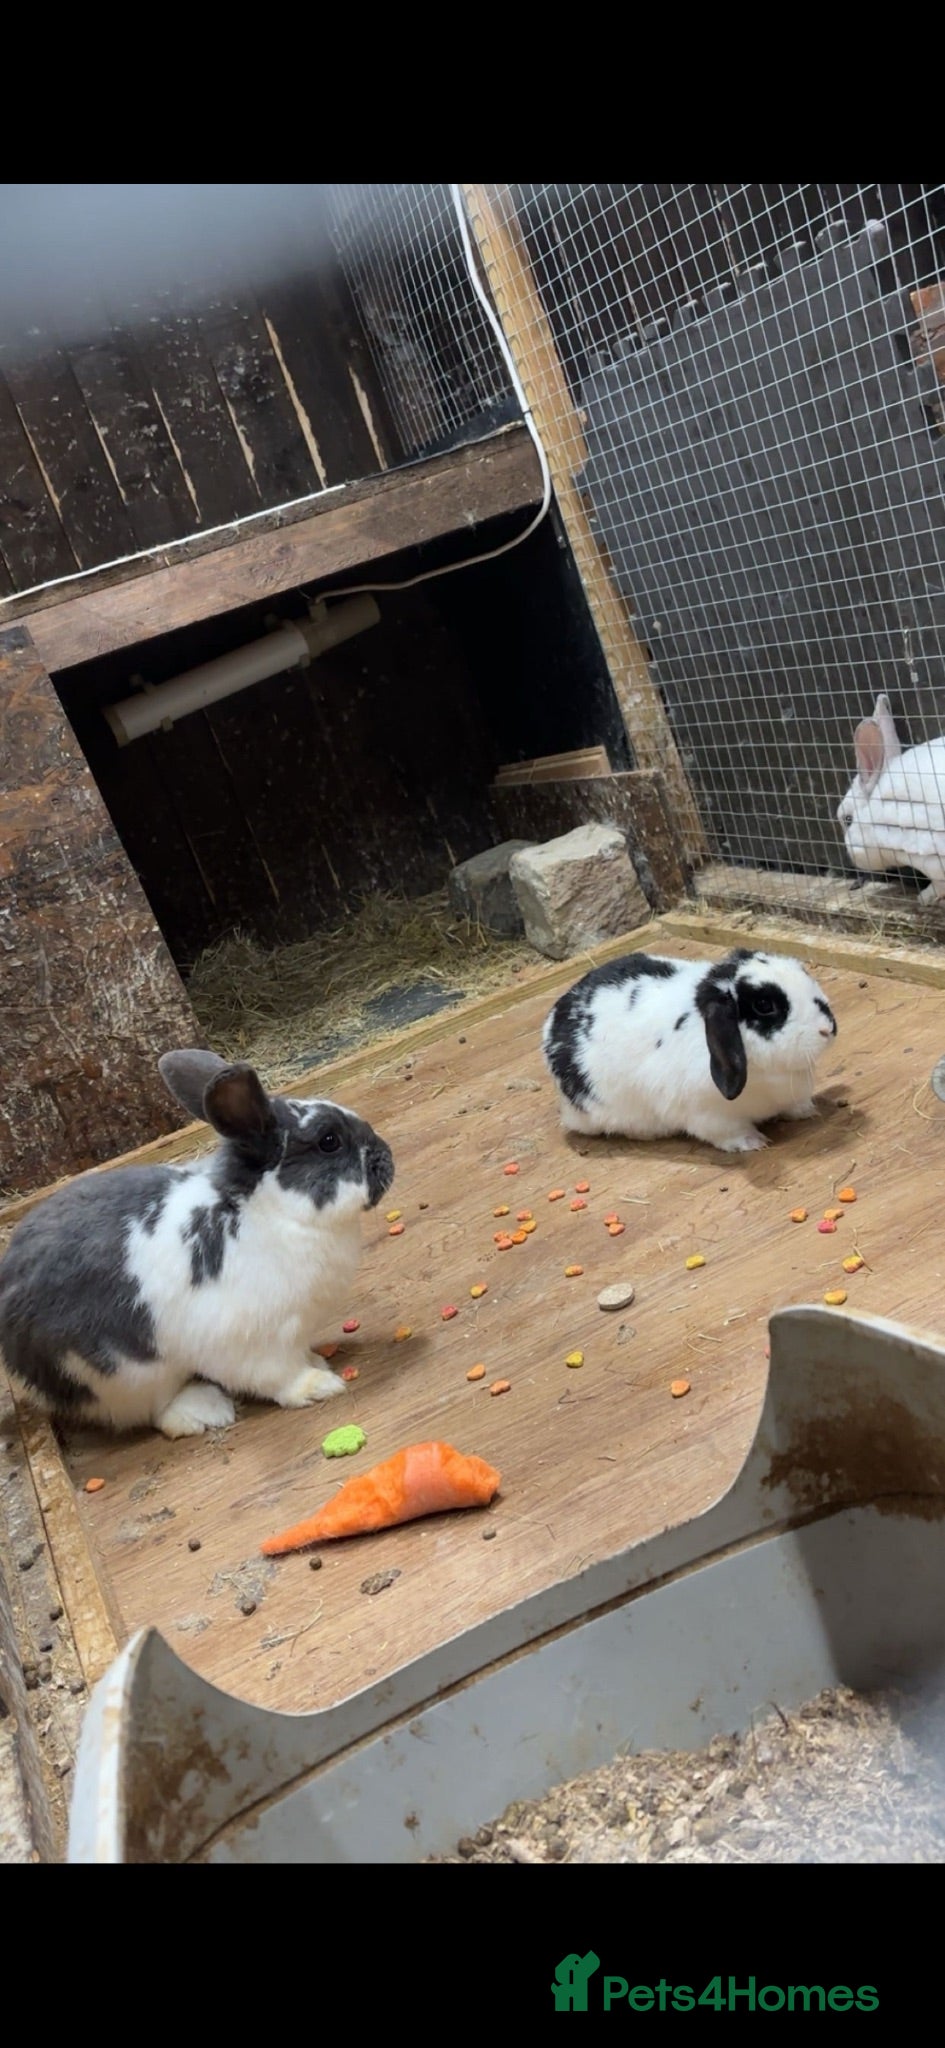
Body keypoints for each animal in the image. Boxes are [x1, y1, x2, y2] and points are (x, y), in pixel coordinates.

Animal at [0, 1050, 395, 1439]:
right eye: (329, 1141)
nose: (385, 1156)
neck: (268, 1212)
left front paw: (316, 1361)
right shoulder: (254, 1344)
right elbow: (278, 1377)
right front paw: (318, 1385)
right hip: (123, 1373)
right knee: (151, 1412)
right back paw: (205, 1411)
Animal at [541, 948, 837, 1154]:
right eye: (764, 1005)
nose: (827, 1029)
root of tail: (553, 1021)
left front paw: (807, 1111)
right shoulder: (709, 1115)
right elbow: (728, 1132)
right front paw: (752, 1142)